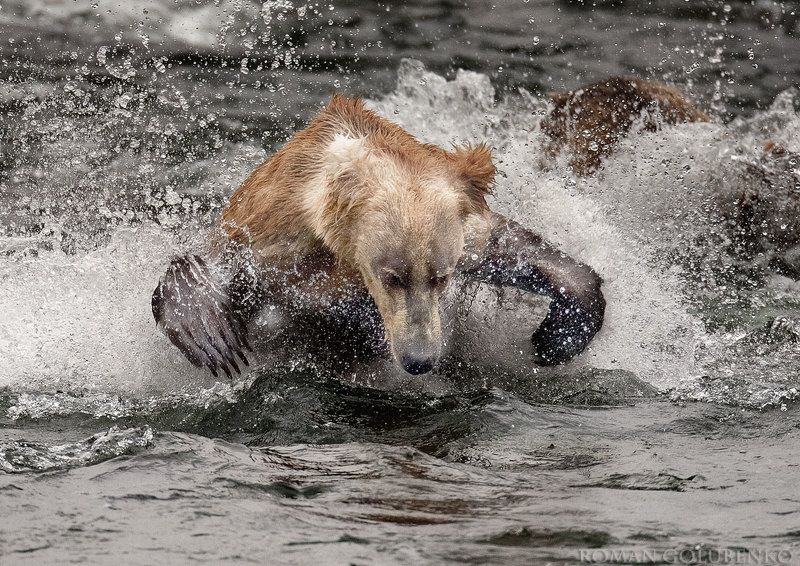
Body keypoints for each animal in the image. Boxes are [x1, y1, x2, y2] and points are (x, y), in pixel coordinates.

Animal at [152, 94, 606, 378]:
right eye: (393, 277)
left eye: (441, 277)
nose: (419, 359)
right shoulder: (273, 244)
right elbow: (212, 266)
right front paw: (211, 334)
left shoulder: (464, 232)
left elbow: (514, 249)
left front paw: (556, 337)